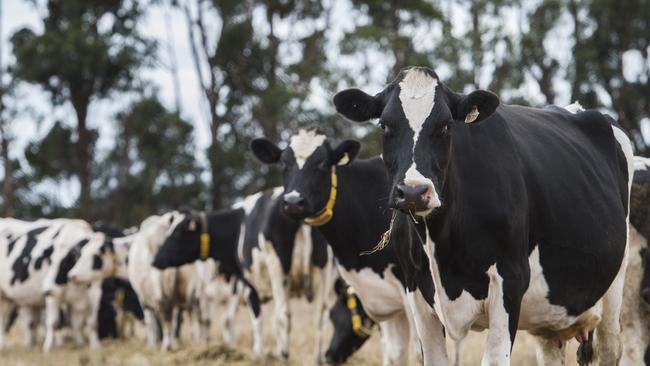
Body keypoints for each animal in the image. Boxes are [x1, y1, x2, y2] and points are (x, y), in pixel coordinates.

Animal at [334, 66, 632, 366]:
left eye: (446, 126)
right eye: (384, 126)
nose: (414, 192)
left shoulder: (510, 278)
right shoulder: (413, 286)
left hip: (614, 287)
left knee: (610, 347)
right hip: (550, 317)